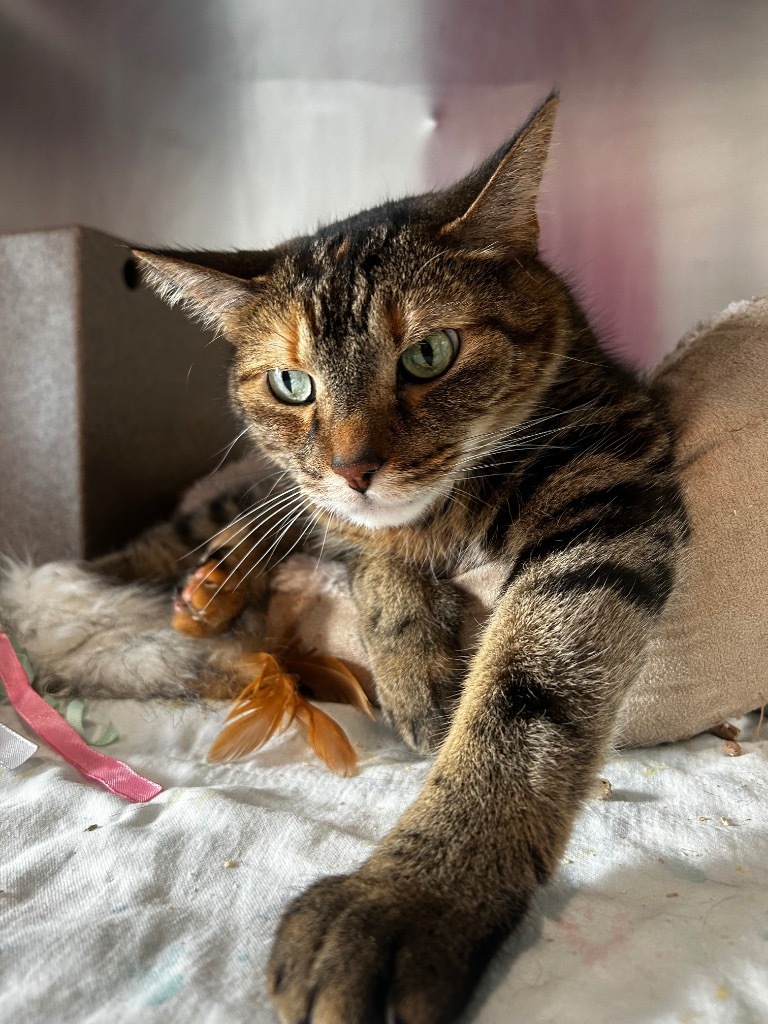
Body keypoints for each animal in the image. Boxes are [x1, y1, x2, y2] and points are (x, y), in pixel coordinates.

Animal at [81, 97, 688, 1024]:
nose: (353, 468)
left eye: (429, 355)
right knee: (214, 523)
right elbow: (367, 556)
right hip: (258, 496)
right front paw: (412, 659)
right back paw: (152, 586)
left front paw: (410, 900)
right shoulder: (337, 514)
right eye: (292, 384)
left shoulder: (609, 489)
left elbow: (520, 708)